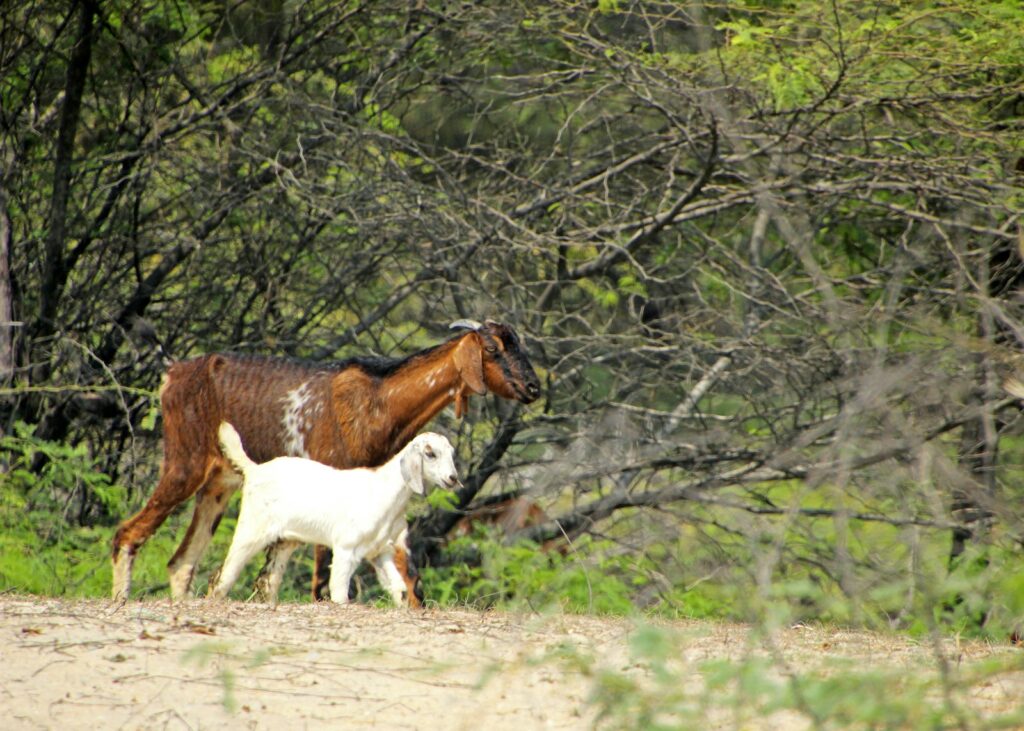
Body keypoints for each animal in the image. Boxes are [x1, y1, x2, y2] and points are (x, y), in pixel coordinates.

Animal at [210, 423, 458, 605]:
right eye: (430, 453)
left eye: (451, 453)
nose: (453, 478)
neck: (383, 491)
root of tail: (254, 469)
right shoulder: (346, 549)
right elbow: (339, 593)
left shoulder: (381, 551)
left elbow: (399, 589)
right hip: (251, 531)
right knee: (224, 575)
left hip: (285, 541)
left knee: (267, 581)